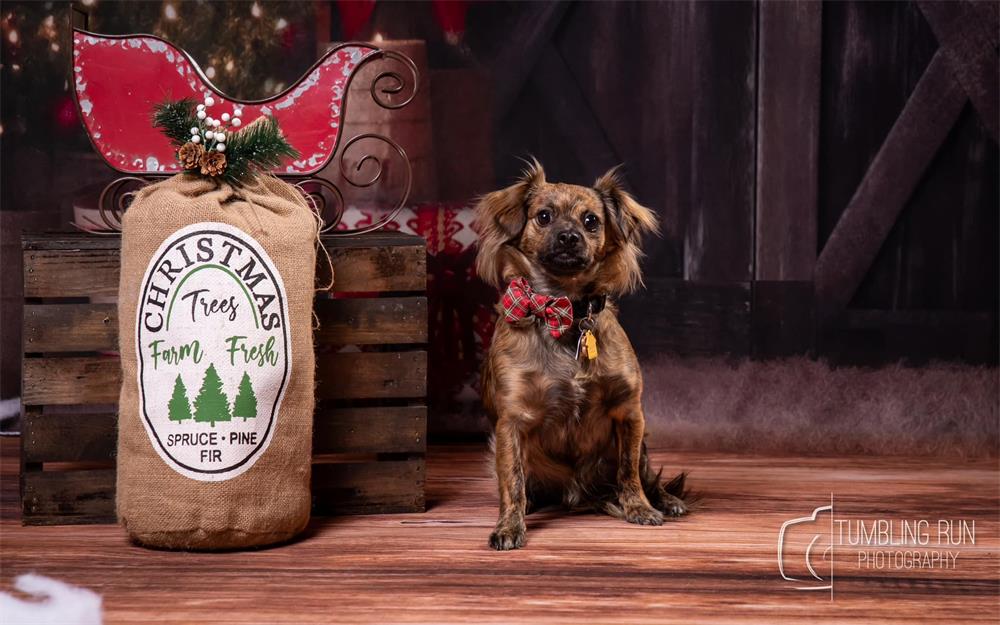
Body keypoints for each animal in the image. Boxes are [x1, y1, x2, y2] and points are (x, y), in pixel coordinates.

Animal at [476, 158, 688, 548]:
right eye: (543, 217)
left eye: (591, 221)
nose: (569, 236)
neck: (564, 308)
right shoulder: (511, 422)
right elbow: (512, 481)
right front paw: (509, 525)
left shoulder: (629, 412)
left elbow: (629, 471)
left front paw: (640, 507)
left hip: (642, 439)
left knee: (647, 472)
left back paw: (665, 500)